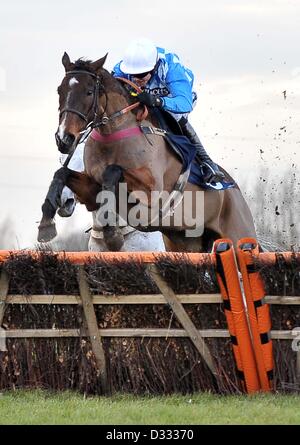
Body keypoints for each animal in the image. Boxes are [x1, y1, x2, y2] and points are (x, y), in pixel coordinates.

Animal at [39, 52, 255, 251]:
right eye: (60, 90)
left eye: (89, 92)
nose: (64, 138)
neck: (113, 135)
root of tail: (234, 189)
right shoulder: (92, 192)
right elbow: (61, 173)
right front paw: (46, 223)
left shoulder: (151, 192)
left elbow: (113, 171)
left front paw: (113, 235)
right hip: (186, 242)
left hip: (239, 236)